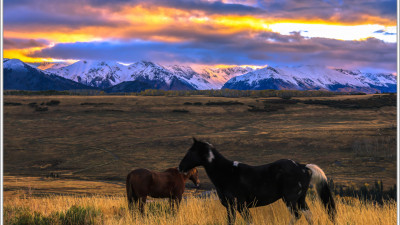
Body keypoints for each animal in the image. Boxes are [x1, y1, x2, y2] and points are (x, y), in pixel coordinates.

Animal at [178, 138, 334, 224]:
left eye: (191, 152)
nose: (180, 167)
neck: (227, 173)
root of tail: (303, 167)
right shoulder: (230, 207)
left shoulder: (240, 205)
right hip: (300, 200)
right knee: (308, 215)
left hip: (290, 199)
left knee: (297, 215)